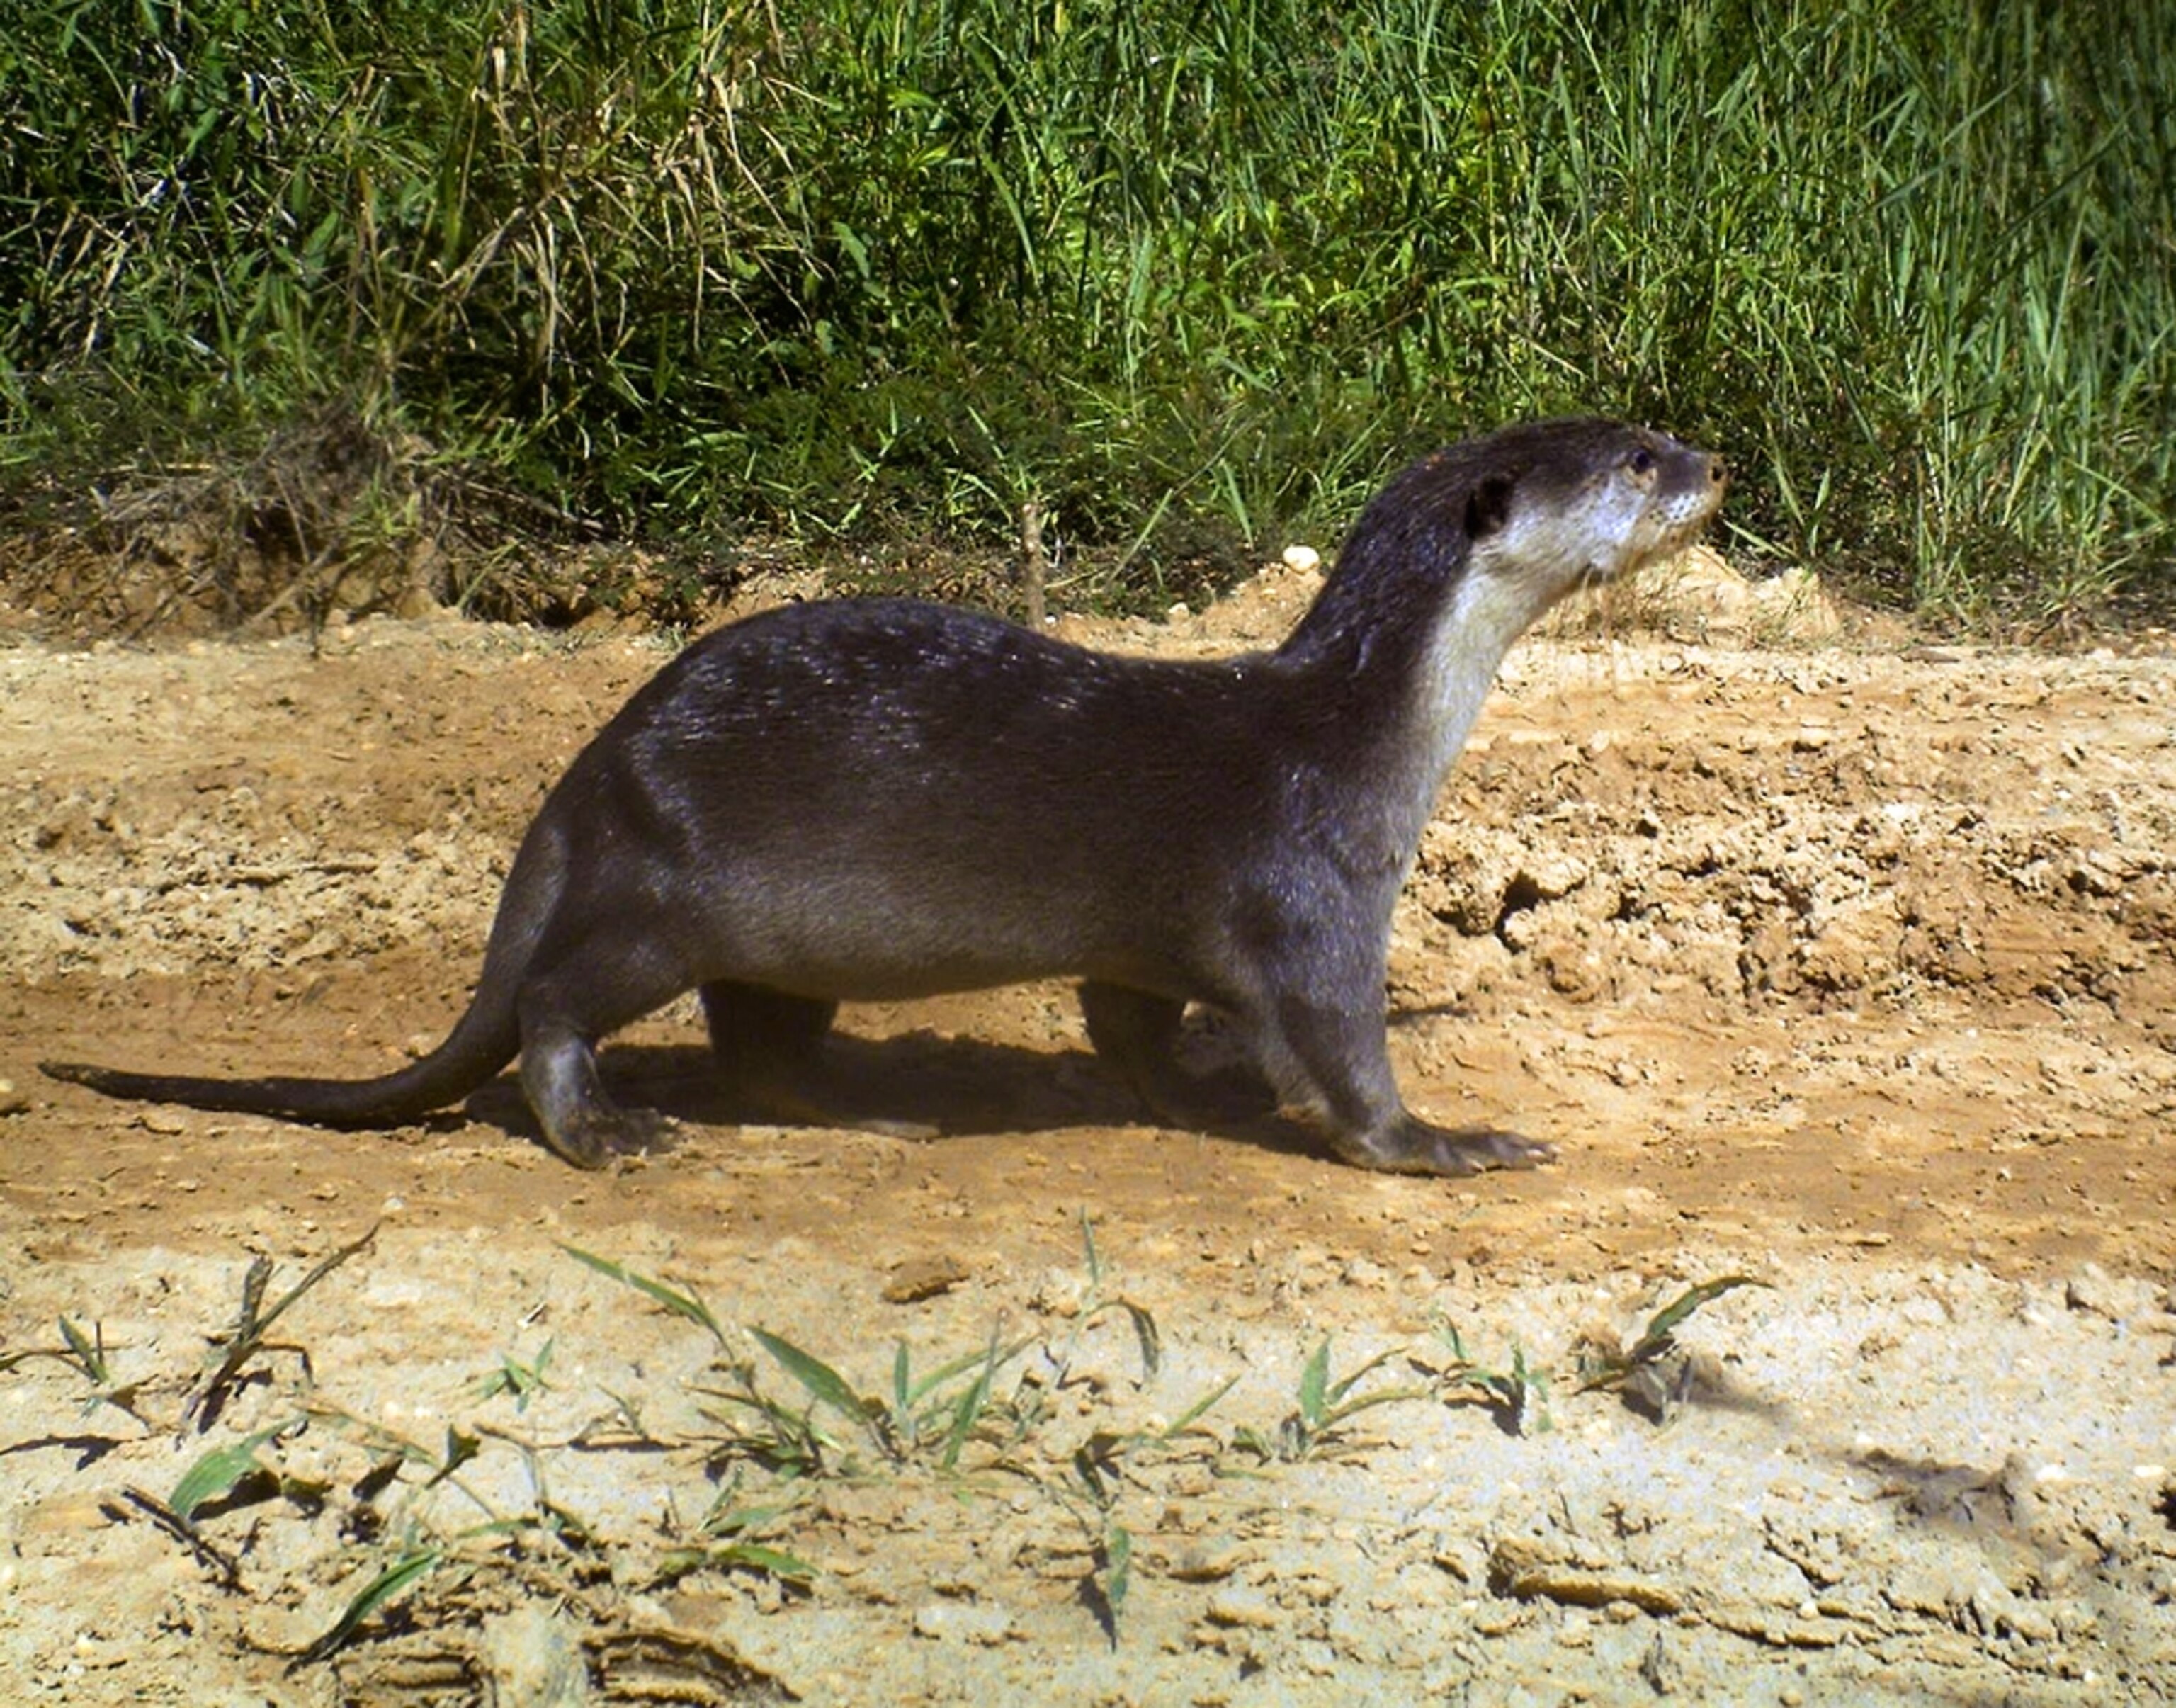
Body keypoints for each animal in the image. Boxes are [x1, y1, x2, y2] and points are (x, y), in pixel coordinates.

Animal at [44, 417, 1726, 1174]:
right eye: (1636, 458)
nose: (1715, 461)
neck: (1360, 725)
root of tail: (593, 767)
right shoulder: (1312, 883)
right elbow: (1337, 1054)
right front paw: (1445, 1140)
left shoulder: (1148, 940)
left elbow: (1133, 1023)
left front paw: (1193, 1092)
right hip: (667, 889)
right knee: (558, 1001)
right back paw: (607, 1128)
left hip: (774, 937)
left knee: (763, 1039)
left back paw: (869, 1107)